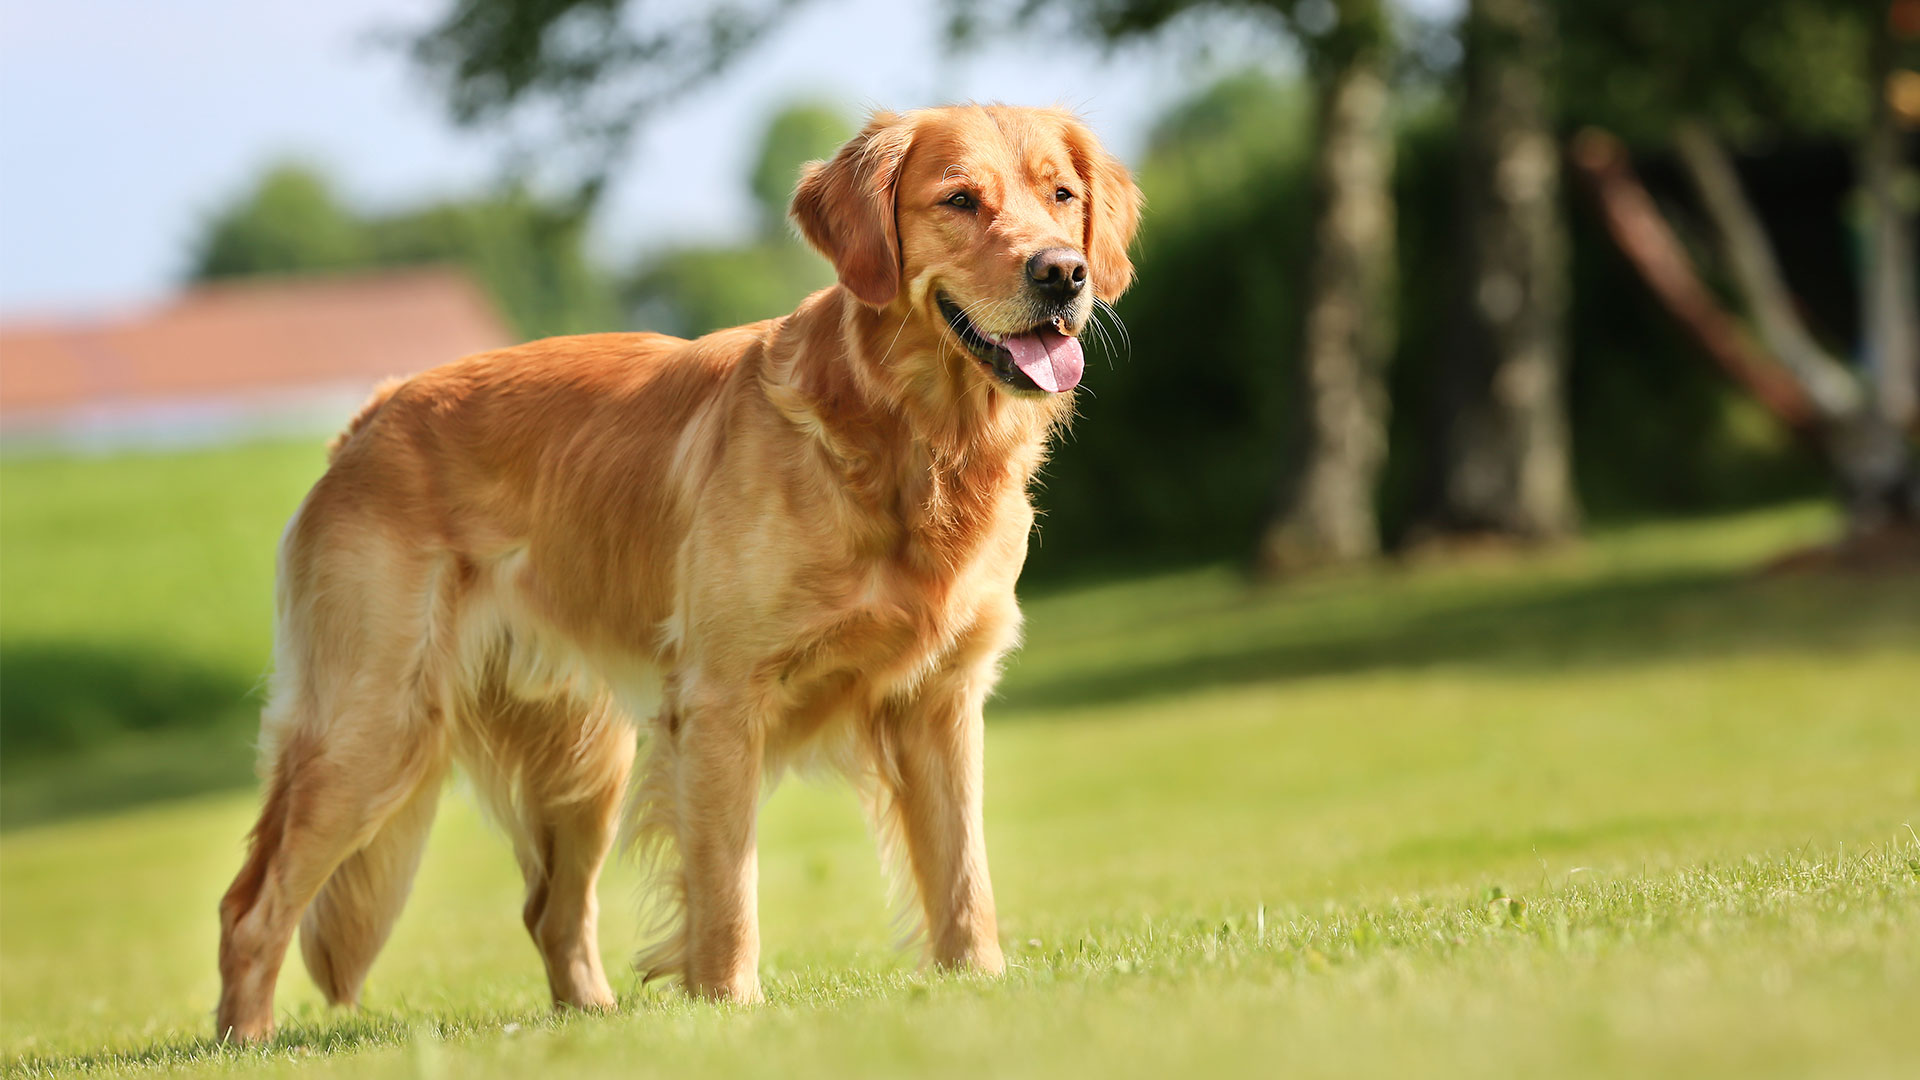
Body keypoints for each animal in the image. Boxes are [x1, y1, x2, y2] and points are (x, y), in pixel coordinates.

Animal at [214, 105, 1136, 1037]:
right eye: (959, 200)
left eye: (1062, 196)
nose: (1064, 273)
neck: (907, 437)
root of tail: (370, 414)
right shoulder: (722, 701)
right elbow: (728, 887)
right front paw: (731, 1008)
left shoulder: (940, 698)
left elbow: (963, 876)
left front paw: (979, 985)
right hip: (374, 724)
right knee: (250, 909)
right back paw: (247, 1040)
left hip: (584, 756)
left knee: (551, 910)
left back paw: (590, 1018)